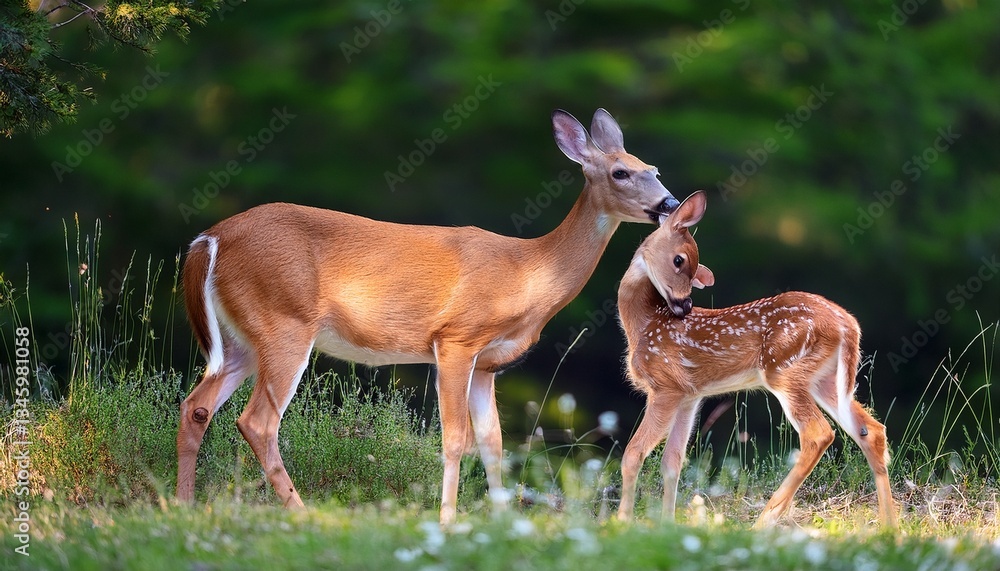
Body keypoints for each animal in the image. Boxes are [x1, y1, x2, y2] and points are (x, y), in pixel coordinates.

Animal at [176, 108, 680, 525]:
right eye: (620, 171)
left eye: (655, 170)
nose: (670, 204)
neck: (526, 272)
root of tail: (208, 239)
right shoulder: (456, 338)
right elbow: (456, 439)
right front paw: (448, 519)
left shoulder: (488, 364)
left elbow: (494, 444)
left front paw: (501, 520)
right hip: (285, 321)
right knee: (257, 421)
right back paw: (301, 512)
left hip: (242, 339)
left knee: (197, 405)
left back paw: (182, 505)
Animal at [615, 190, 897, 528]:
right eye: (680, 260)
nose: (684, 307)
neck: (644, 324)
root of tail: (848, 325)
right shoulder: (689, 395)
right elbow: (672, 462)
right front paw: (666, 525)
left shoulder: (665, 386)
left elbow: (633, 454)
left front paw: (621, 522)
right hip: (825, 379)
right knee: (871, 430)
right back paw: (890, 526)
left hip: (783, 369)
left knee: (819, 433)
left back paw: (765, 520)